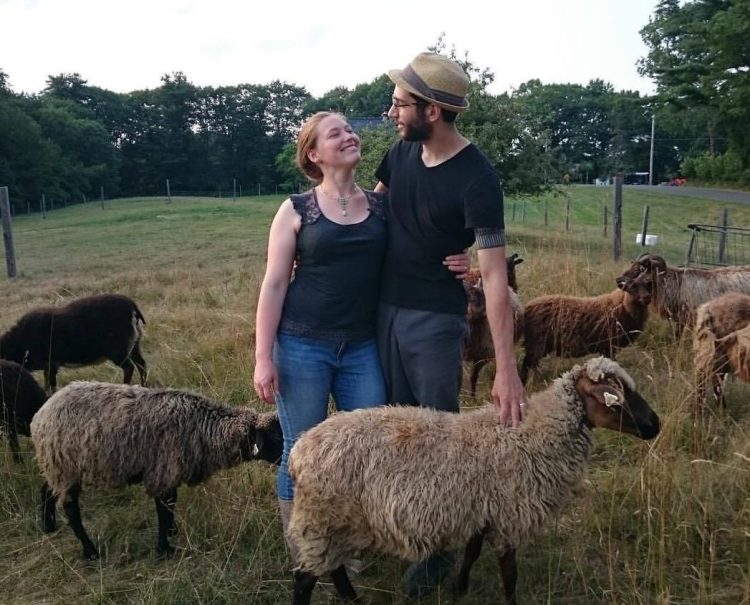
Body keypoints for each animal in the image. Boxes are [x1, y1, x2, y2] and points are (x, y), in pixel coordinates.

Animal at [0, 294, 148, 392]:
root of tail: (132, 307)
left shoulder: (50, 364)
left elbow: (50, 386)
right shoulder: (51, 366)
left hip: (118, 351)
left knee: (129, 367)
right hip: (134, 346)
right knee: (142, 365)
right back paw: (144, 386)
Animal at [30, 380, 284, 560]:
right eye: (277, 437)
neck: (204, 427)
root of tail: (41, 413)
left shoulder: (170, 473)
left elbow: (171, 504)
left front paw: (171, 532)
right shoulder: (162, 472)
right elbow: (163, 508)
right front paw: (164, 549)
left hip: (56, 467)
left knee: (46, 490)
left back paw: (48, 526)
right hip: (65, 467)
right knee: (71, 509)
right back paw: (90, 551)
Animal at [284, 356, 660, 600]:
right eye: (616, 400)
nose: (655, 425)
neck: (535, 434)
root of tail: (300, 450)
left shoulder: (482, 510)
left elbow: (472, 553)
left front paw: (459, 588)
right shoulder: (509, 516)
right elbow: (509, 574)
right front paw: (508, 601)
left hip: (334, 523)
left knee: (332, 568)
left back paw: (352, 599)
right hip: (324, 517)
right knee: (305, 578)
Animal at [520, 274, 656, 382]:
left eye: (648, 285)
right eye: (631, 287)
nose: (647, 297)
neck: (621, 305)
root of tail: (527, 307)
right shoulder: (609, 346)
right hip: (536, 344)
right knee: (526, 365)